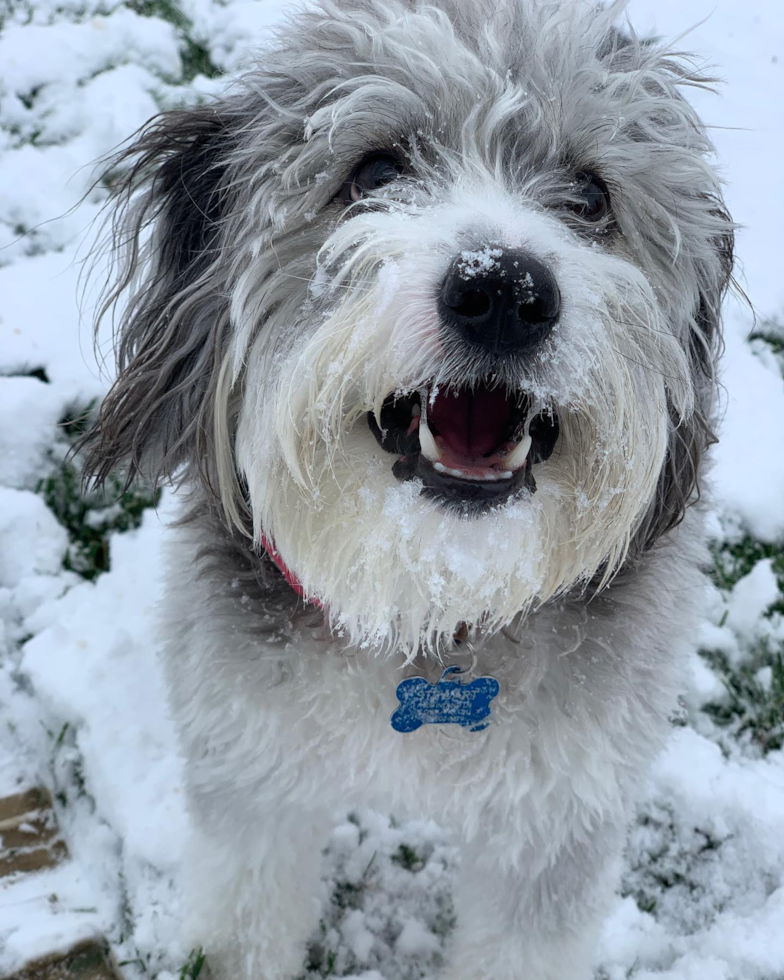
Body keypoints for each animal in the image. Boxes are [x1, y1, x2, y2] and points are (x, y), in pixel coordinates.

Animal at [76, 0, 732, 976]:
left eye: (590, 197)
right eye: (376, 170)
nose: (504, 290)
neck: (430, 603)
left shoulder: (554, 826)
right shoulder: (251, 781)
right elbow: (245, 918)